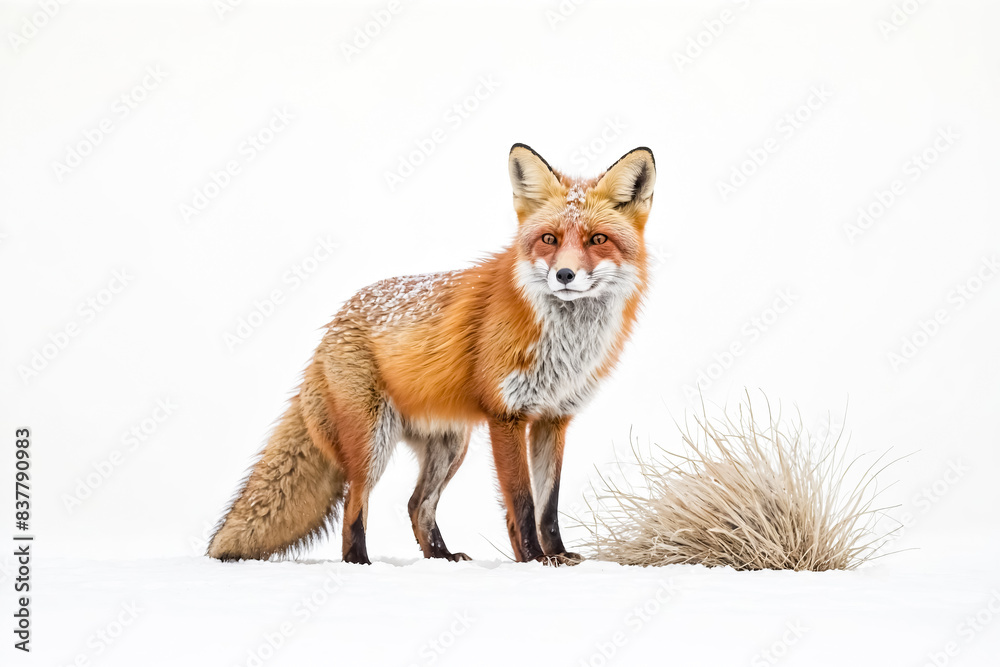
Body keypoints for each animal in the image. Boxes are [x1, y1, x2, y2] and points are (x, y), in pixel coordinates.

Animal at [207, 143, 656, 565]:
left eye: (597, 240)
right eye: (549, 239)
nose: (564, 274)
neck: (565, 344)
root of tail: (335, 322)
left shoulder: (554, 418)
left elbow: (549, 505)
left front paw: (558, 555)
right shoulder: (506, 415)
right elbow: (523, 503)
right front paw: (533, 559)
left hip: (450, 445)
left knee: (416, 504)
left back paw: (441, 557)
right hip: (373, 442)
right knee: (355, 503)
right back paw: (361, 562)